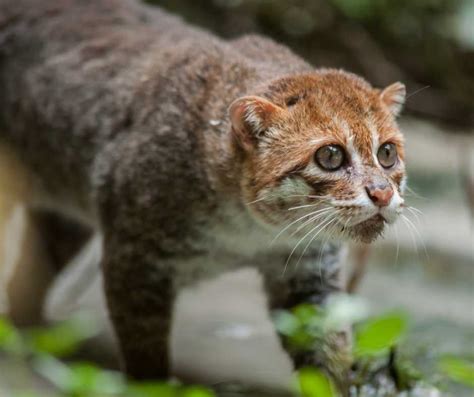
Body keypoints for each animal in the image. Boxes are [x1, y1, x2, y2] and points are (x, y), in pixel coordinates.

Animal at [0, 0, 408, 386]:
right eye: (330, 156)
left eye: (387, 153)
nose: (382, 194)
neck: (248, 232)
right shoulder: (134, 260)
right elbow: (146, 364)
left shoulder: (310, 273)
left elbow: (328, 357)